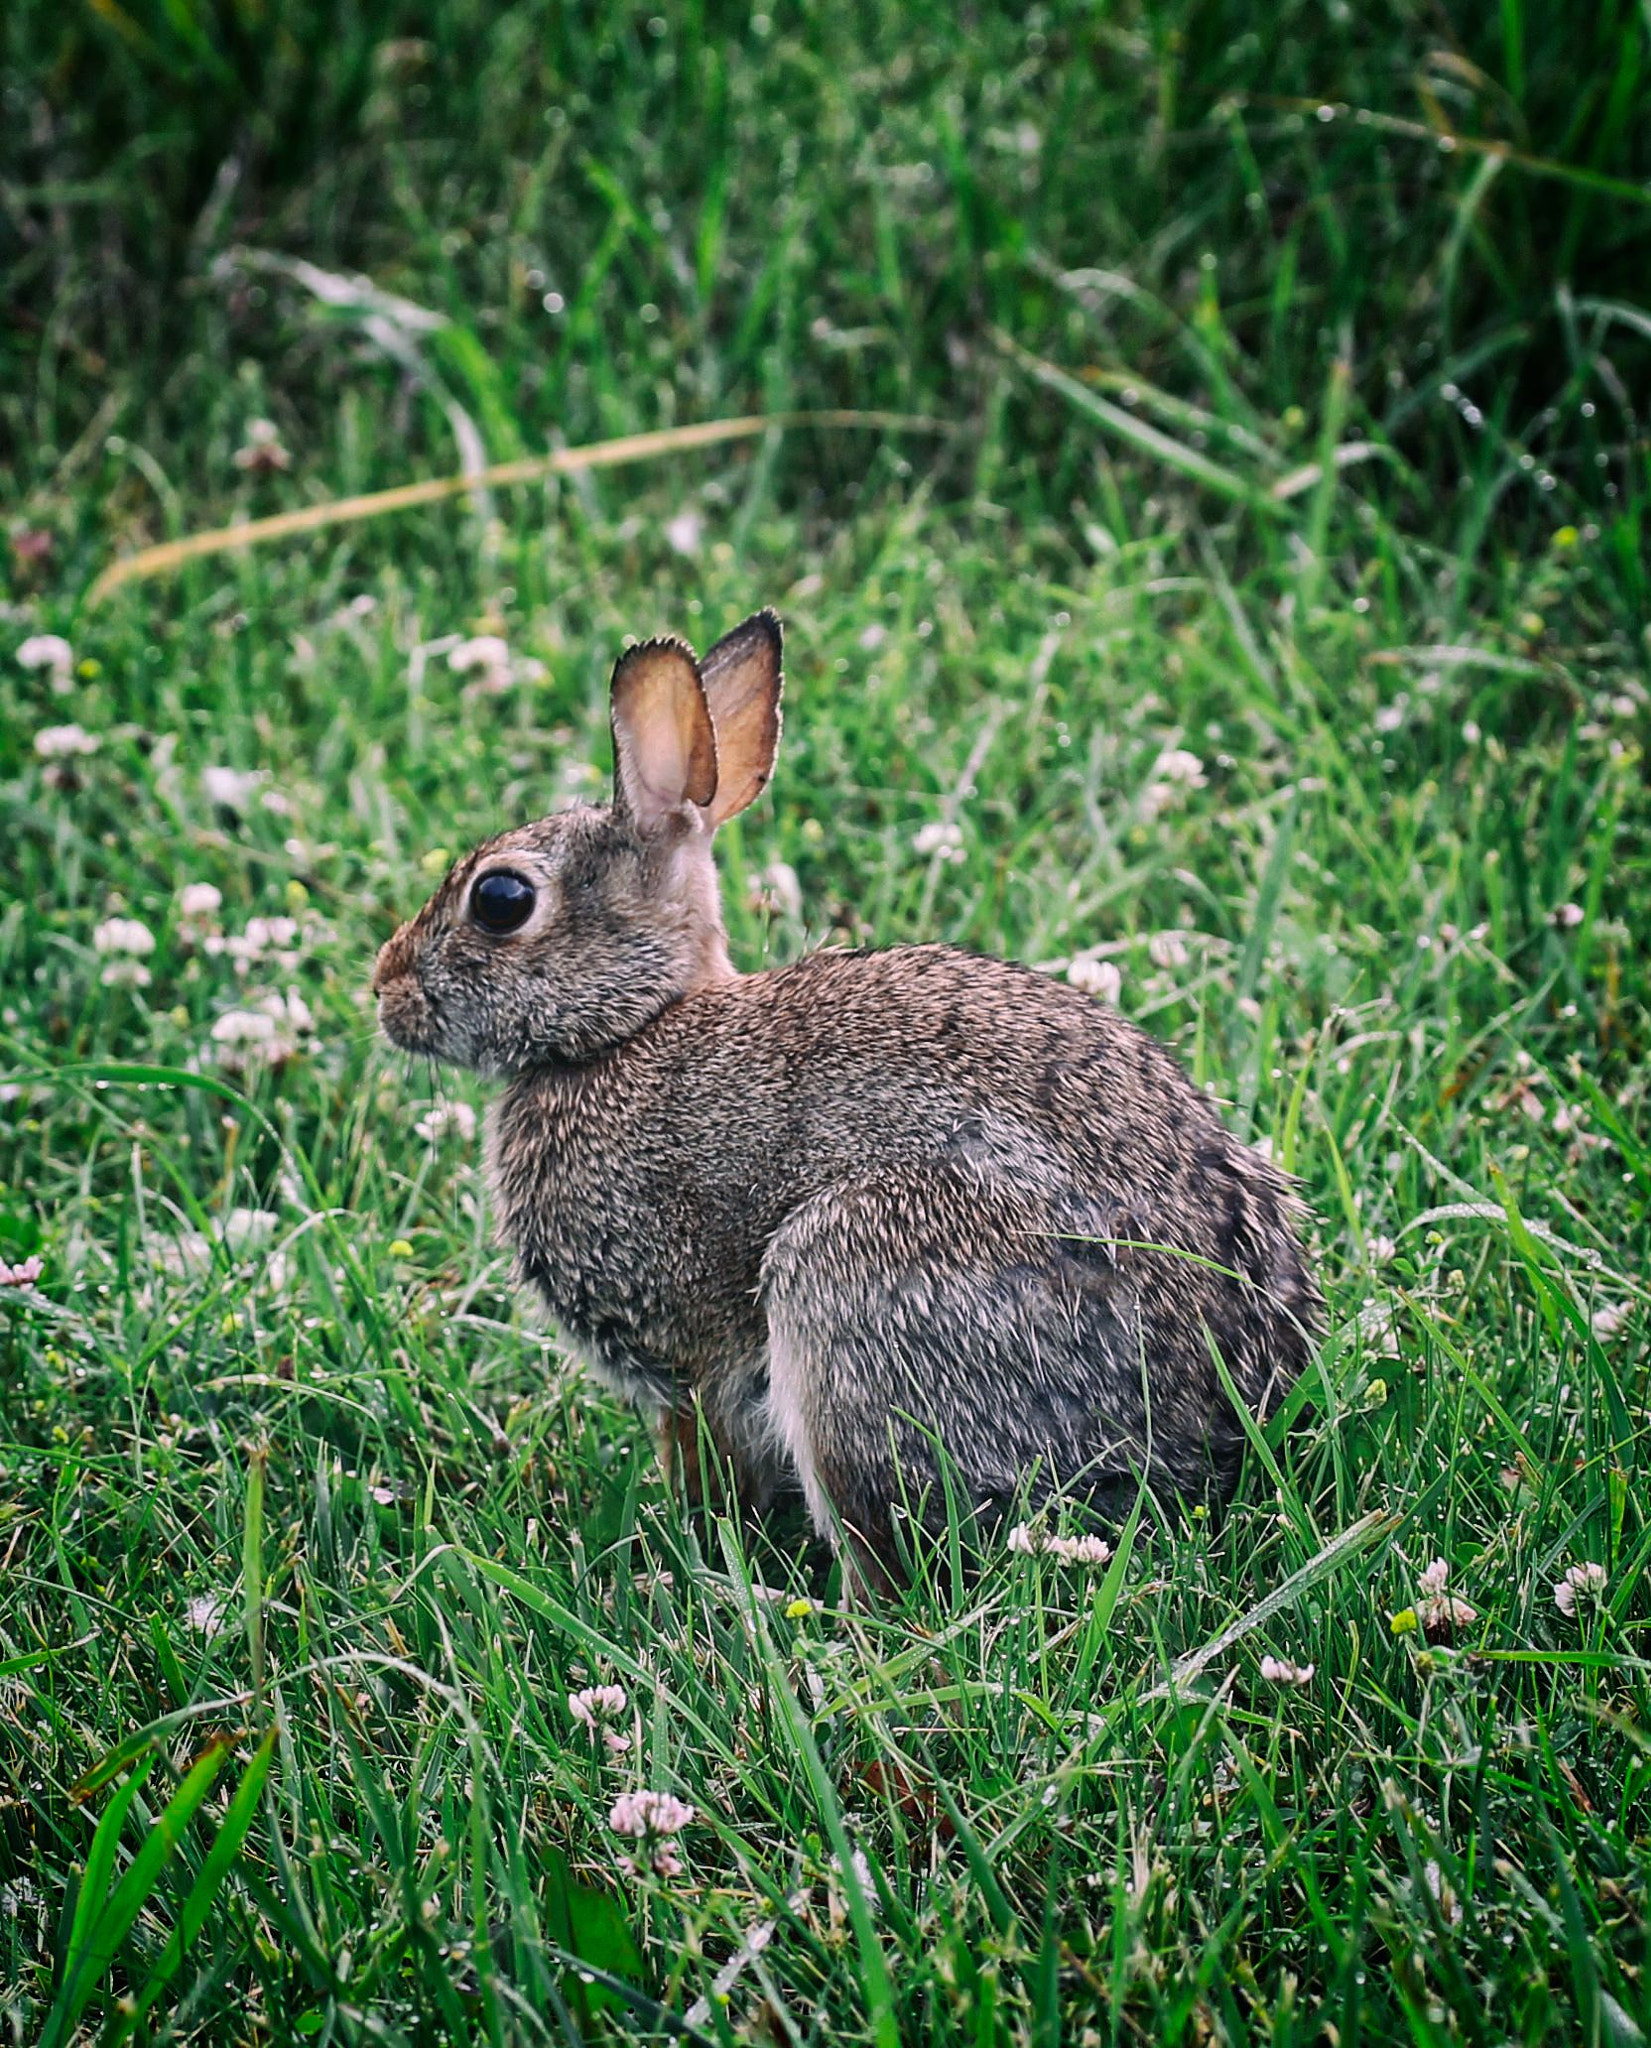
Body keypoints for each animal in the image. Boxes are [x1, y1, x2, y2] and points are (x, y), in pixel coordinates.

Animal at [374, 609, 1322, 1587]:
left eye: (500, 899)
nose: (384, 991)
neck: (629, 1029)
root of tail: (1206, 1430)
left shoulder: (688, 1353)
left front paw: (689, 1543)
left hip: (851, 1284)